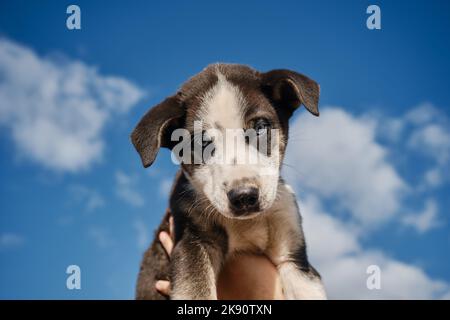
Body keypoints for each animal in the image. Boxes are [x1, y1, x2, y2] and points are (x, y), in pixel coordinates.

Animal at [132, 63, 326, 300]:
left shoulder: (294, 256)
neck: (247, 223)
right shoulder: (192, 243)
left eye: (260, 127)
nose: (244, 197)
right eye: (201, 143)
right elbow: (198, 293)